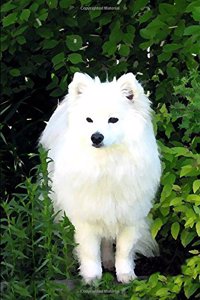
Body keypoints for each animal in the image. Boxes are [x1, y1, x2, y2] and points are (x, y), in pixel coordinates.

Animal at [39, 72, 162, 284]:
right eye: (89, 120)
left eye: (113, 120)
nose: (96, 137)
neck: (107, 163)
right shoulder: (86, 217)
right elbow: (89, 251)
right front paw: (91, 278)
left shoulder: (130, 216)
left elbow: (124, 250)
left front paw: (126, 275)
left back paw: (109, 262)